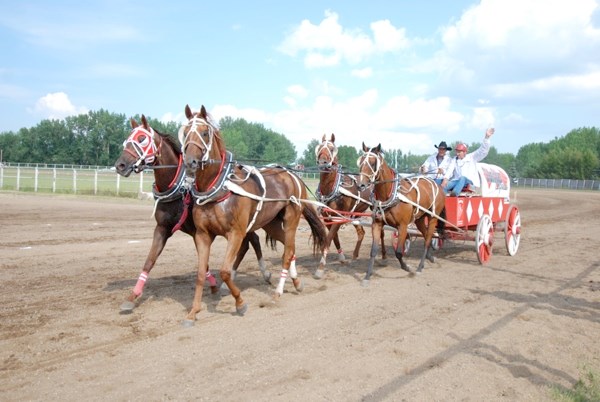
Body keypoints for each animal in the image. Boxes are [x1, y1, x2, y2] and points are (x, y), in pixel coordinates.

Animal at [115, 114, 270, 312]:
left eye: (142, 139)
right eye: (128, 138)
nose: (120, 165)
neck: (178, 188)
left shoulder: (197, 231)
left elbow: (205, 263)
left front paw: (213, 286)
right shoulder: (162, 228)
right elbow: (149, 261)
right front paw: (132, 296)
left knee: (253, 241)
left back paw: (263, 273)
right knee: (249, 243)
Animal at [179, 104, 328, 326]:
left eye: (205, 133)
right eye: (186, 132)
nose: (190, 162)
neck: (218, 189)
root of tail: (292, 176)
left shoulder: (236, 233)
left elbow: (225, 271)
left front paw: (240, 303)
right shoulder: (203, 235)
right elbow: (200, 273)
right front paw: (193, 312)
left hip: (291, 218)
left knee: (287, 253)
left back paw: (277, 292)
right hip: (271, 224)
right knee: (290, 248)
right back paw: (296, 282)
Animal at [312, 133, 386, 278]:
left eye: (332, 148)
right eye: (319, 147)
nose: (323, 163)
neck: (332, 188)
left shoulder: (339, 217)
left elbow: (329, 239)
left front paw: (320, 268)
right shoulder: (328, 217)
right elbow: (334, 238)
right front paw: (341, 257)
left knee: (381, 233)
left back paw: (384, 257)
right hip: (355, 214)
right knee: (361, 233)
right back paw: (355, 255)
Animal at [356, 141, 446, 286]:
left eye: (373, 162)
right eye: (361, 161)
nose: (361, 185)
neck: (391, 194)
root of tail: (436, 185)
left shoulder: (402, 226)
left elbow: (398, 252)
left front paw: (407, 268)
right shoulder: (377, 224)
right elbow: (373, 251)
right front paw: (367, 276)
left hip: (432, 217)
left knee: (427, 240)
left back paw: (420, 266)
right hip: (419, 219)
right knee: (426, 234)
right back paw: (430, 257)